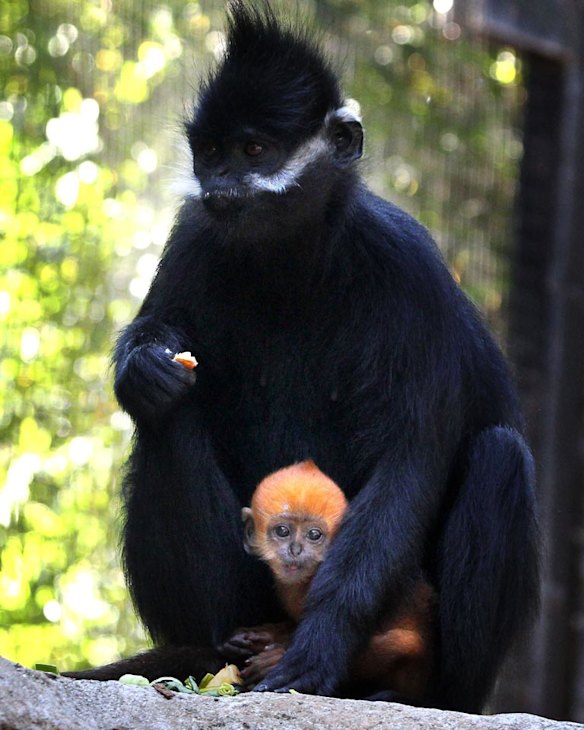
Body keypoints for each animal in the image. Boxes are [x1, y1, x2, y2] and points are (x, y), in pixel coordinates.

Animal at [223, 460, 434, 702]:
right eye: (283, 531)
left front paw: (277, 661)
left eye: (314, 535)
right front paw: (264, 635)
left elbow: (406, 644)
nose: (295, 550)